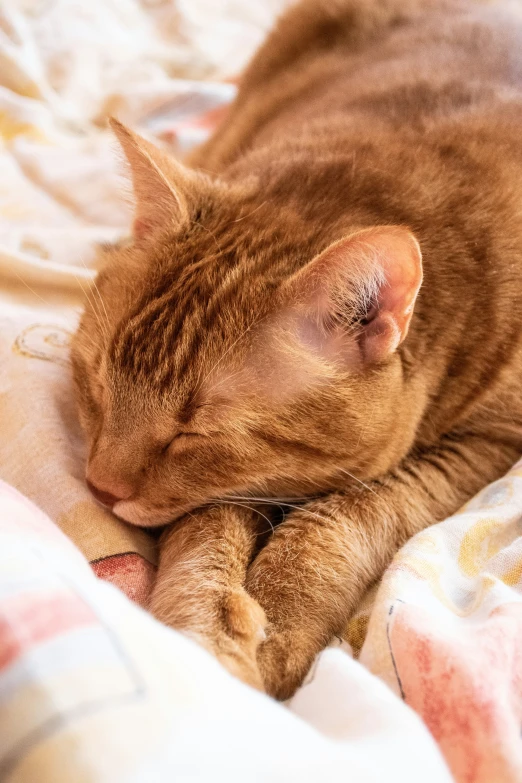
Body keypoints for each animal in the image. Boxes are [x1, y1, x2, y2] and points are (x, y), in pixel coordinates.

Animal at [70, 0, 522, 700]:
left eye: (194, 436)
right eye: (95, 383)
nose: (99, 487)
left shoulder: (492, 441)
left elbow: (349, 514)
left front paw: (280, 618)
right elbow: (206, 533)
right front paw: (211, 631)